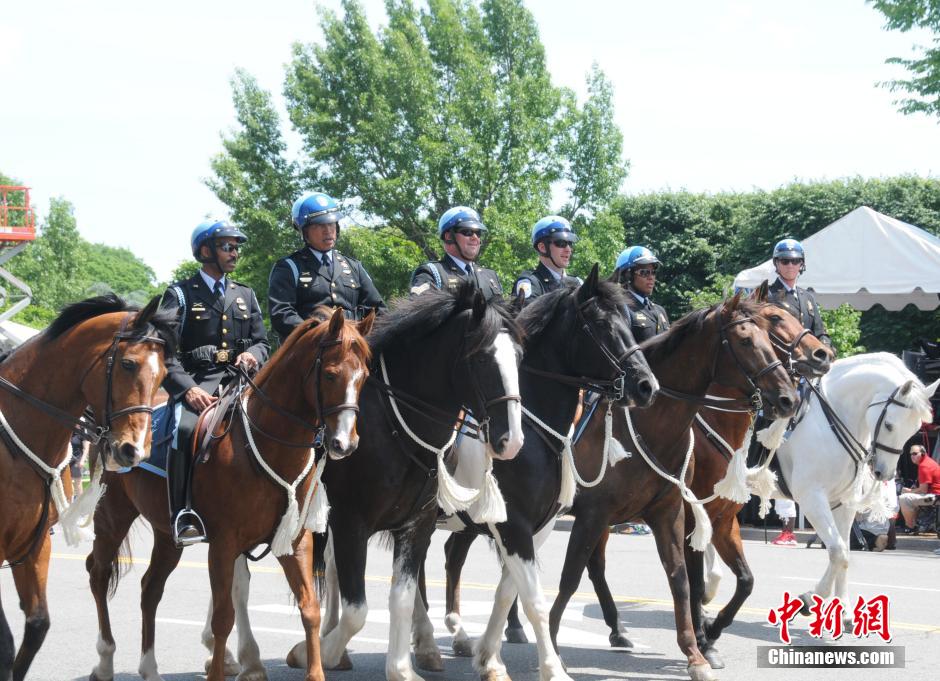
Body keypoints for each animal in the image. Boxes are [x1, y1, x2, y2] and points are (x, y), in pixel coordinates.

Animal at [85, 307, 374, 681]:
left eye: (364, 376)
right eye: (330, 374)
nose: (344, 443)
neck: (266, 443)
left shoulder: (295, 541)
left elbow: (310, 609)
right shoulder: (223, 544)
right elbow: (224, 618)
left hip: (167, 534)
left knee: (150, 588)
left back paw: (149, 668)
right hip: (112, 515)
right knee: (99, 574)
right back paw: (105, 660)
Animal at [407, 268, 658, 681]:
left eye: (629, 323)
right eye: (602, 324)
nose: (646, 386)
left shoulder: (536, 527)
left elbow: (509, 591)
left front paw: (490, 658)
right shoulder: (513, 524)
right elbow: (533, 599)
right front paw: (552, 668)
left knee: (441, 559)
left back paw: (453, 635)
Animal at [543, 291, 836, 670]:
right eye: (773, 319)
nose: (822, 354)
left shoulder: (719, 520)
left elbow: (742, 580)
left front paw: (709, 632)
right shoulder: (690, 518)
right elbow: (696, 582)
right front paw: (704, 638)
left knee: (595, 566)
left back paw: (617, 629)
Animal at [746, 352, 938, 624]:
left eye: (915, 429)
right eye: (889, 425)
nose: (884, 473)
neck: (834, 421)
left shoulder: (843, 502)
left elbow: (844, 553)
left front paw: (844, 610)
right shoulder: (812, 498)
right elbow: (838, 551)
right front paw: (810, 598)